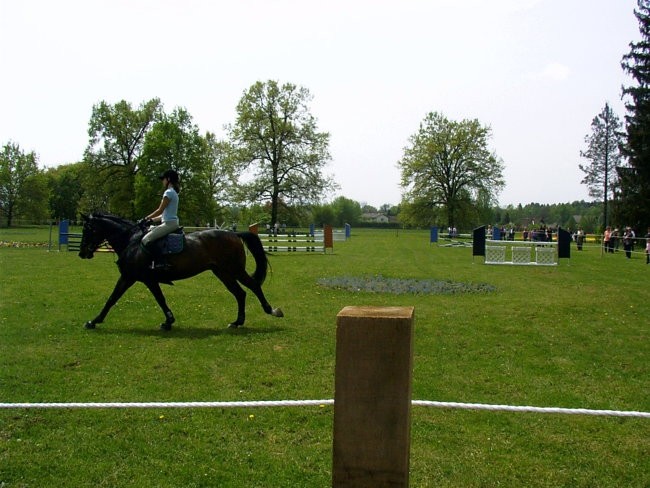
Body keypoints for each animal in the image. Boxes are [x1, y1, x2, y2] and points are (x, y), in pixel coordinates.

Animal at [77, 214, 282, 332]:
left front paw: (94, 321)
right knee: (240, 293)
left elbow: (112, 299)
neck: (132, 241)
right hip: (222, 272)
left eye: (88, 229)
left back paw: (272, 310)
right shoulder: (146, 279)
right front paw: (168, 321)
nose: (82, 253)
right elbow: (160, 299)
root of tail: (234, 234)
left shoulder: (130, 277)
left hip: (234, 269)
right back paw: (237, 322)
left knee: (253, 286)